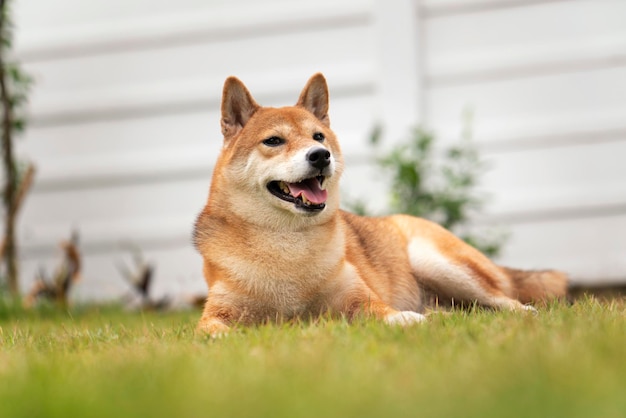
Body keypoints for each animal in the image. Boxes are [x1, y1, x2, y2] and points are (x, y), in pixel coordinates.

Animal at [191, 72, 564, 336]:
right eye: (273, 141)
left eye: (318, 137)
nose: (320, 155)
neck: (288, 246)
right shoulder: (218, 311)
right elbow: (210, 331)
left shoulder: (359, 298)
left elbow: (383, 312)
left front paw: (406, 319)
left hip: (438, 262)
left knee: (504, 300)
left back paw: (522, 315)